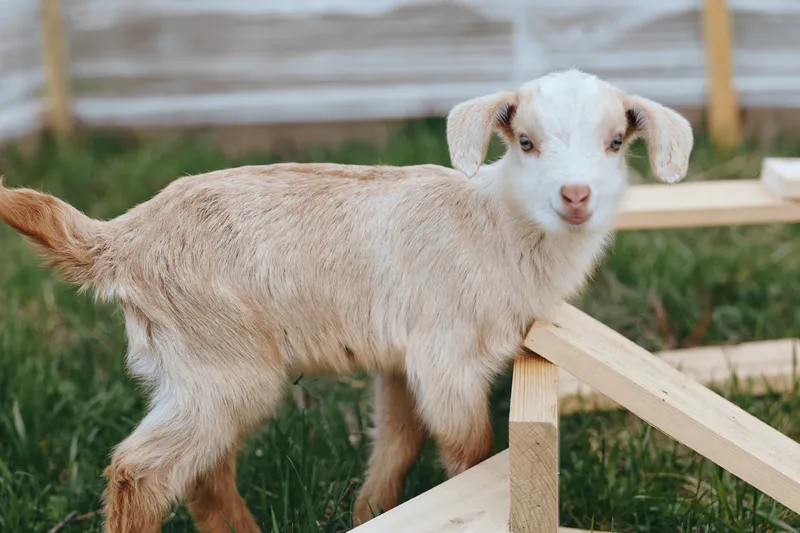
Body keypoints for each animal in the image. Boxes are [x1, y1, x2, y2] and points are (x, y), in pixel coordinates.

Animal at [0, 69, 692, 532]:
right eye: (525, 141)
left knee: (202, 475)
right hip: (222, 365)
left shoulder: (401, 360)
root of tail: (121, 239)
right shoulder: (446, 356)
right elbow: (470, 451)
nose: (576, 196)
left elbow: (399, 442)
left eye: (616, 142)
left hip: (193, 372)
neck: (497, 225)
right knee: (140, 473)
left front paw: (370, 512)